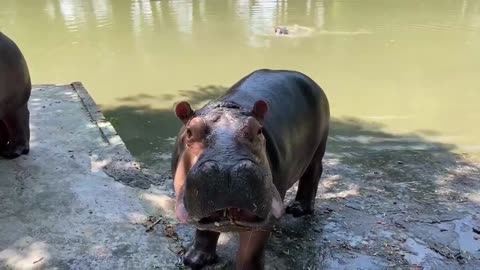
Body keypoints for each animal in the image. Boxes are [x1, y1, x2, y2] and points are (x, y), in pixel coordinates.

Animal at [172, 68, 330, 268]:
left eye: (259, 130)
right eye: (190, 131)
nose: (228, 170)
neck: (228, 107)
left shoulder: (266, 214)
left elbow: (250, 251)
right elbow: (204, 230)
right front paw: (193, 260)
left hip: (319, 147)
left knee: (313, 173)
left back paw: (298, 210)